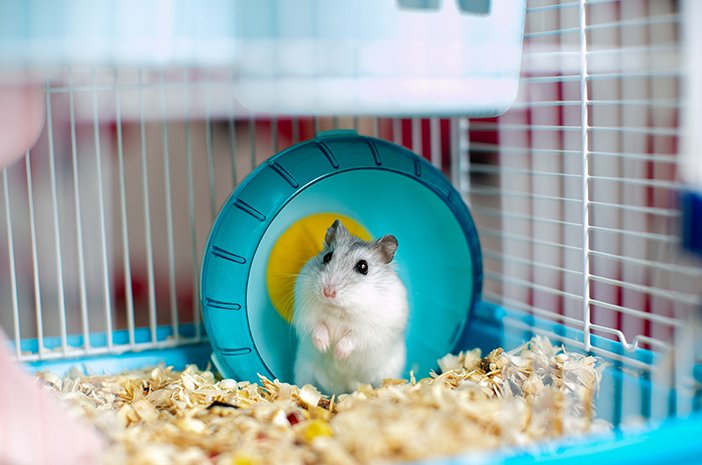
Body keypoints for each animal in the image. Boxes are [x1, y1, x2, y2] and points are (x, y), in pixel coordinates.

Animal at [293, 219, 409, 394]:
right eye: (327, 256)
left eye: (363, 267)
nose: (328, 292)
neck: (339, 310)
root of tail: (341, 391)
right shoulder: (307, 315)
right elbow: (318, 327)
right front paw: (325, 347)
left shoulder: (371, 330)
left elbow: (353, 337)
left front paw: (338, 353)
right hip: (303, 370)